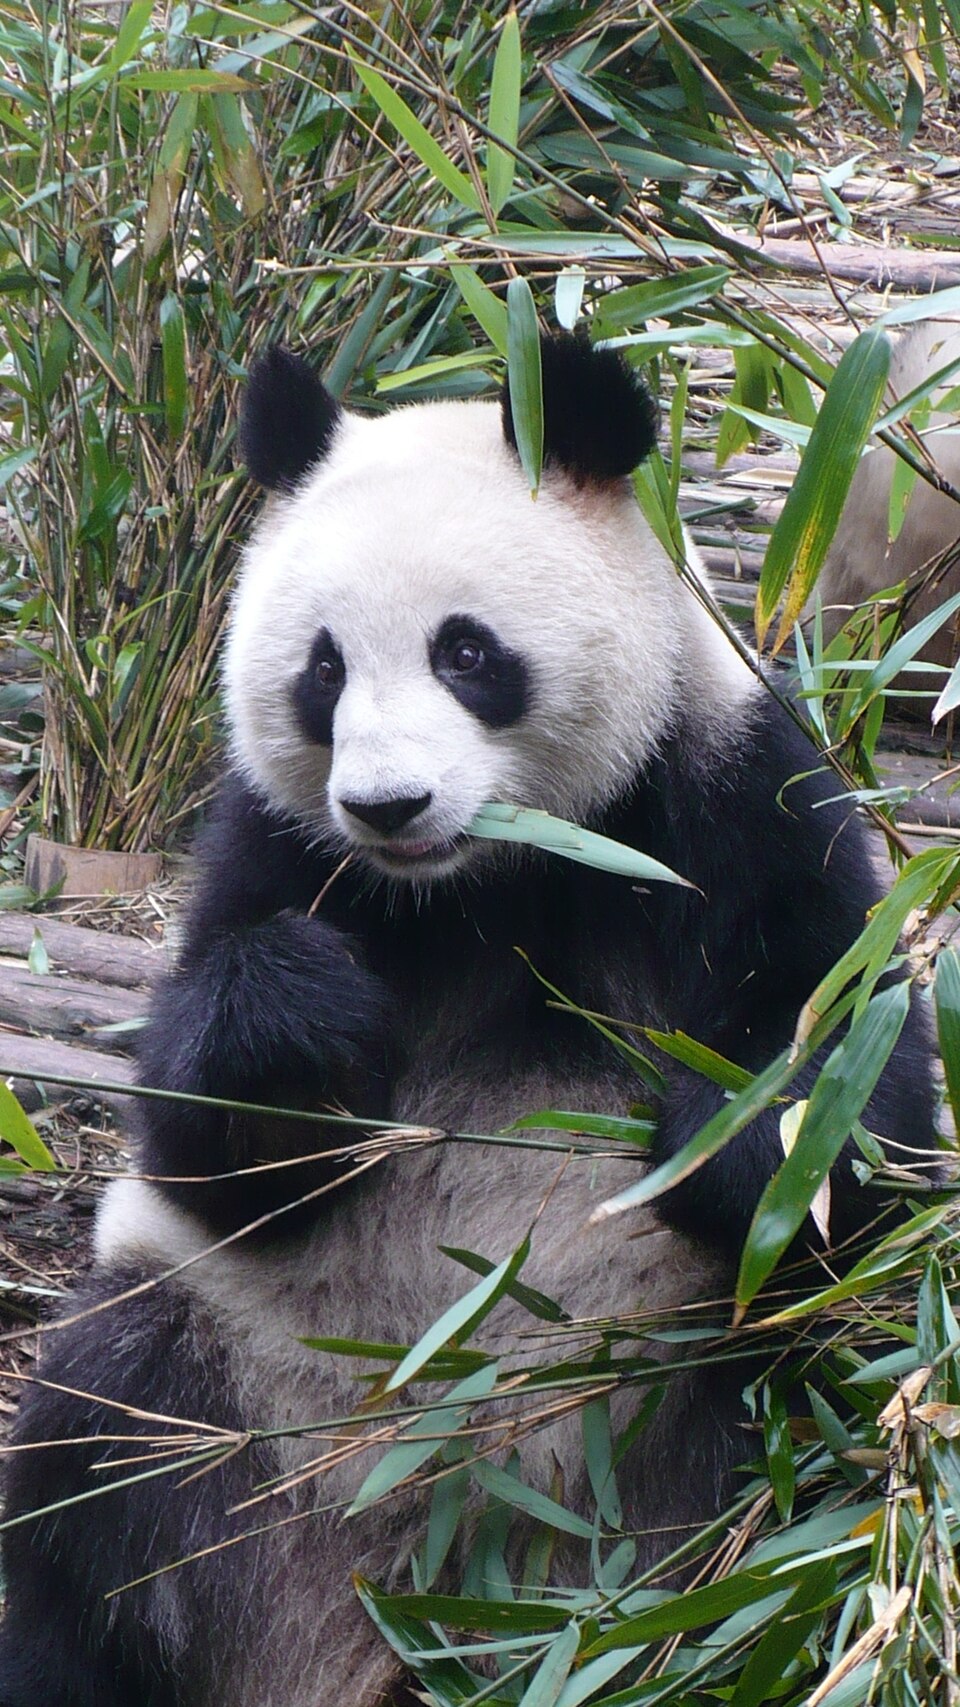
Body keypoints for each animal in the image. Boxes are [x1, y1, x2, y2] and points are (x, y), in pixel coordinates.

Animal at [0, 334, 939, 1707]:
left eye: (468, 654)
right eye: (323, 668)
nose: (388, 805)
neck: (485, 877)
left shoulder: (727, 795)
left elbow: (850, 1080)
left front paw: (722, 1134)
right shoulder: (273, 848)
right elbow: (210, 1137)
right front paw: (297, 1018)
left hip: (703, 1405)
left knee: (808, 1442)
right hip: (226, 1364)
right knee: (99, 1470)